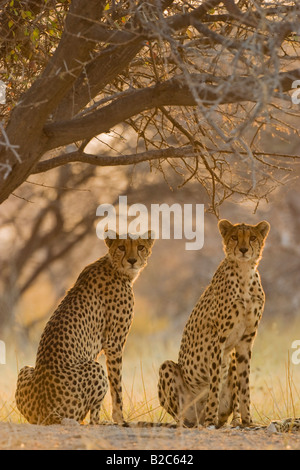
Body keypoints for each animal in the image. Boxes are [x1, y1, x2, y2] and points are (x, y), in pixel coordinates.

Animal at [15, 231, 155, 426]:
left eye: (140, 247)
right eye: (121, 247)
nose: (132, 260)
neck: (114, 266)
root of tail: (46, 413)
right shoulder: (114, 343)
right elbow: (117, 385)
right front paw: (120, 418)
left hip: (25, 370)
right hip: (94, 367)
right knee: (93, 419)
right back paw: (104, 422)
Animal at [158, 218, 270, 428]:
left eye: (252, 237)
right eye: (234, 237)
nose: (243, 249)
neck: (244, 274)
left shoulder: (245, 340)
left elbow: (244, 384)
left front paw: (248, 421)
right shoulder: (217, 339)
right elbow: (215, 382)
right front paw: (211, 418)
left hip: (231, 360)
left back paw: (229, 420)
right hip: (168, 371)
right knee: (183, 415)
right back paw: (198, 421)